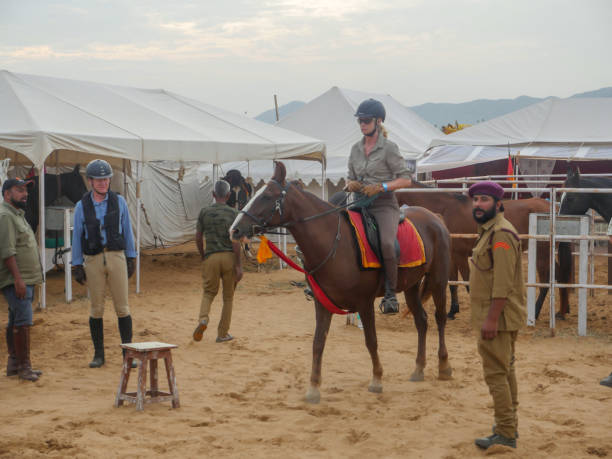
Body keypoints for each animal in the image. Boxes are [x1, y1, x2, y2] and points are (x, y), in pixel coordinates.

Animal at [394, 181, 568, 322]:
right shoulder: (451, 256)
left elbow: (466, 281)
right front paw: (452, 311)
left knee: (546, 281)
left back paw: (536, 313)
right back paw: (561, 312)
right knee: (560, 275)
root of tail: (554, 208)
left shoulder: (460, 256)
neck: (445, 209)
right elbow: (453, 284)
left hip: (542, 254)